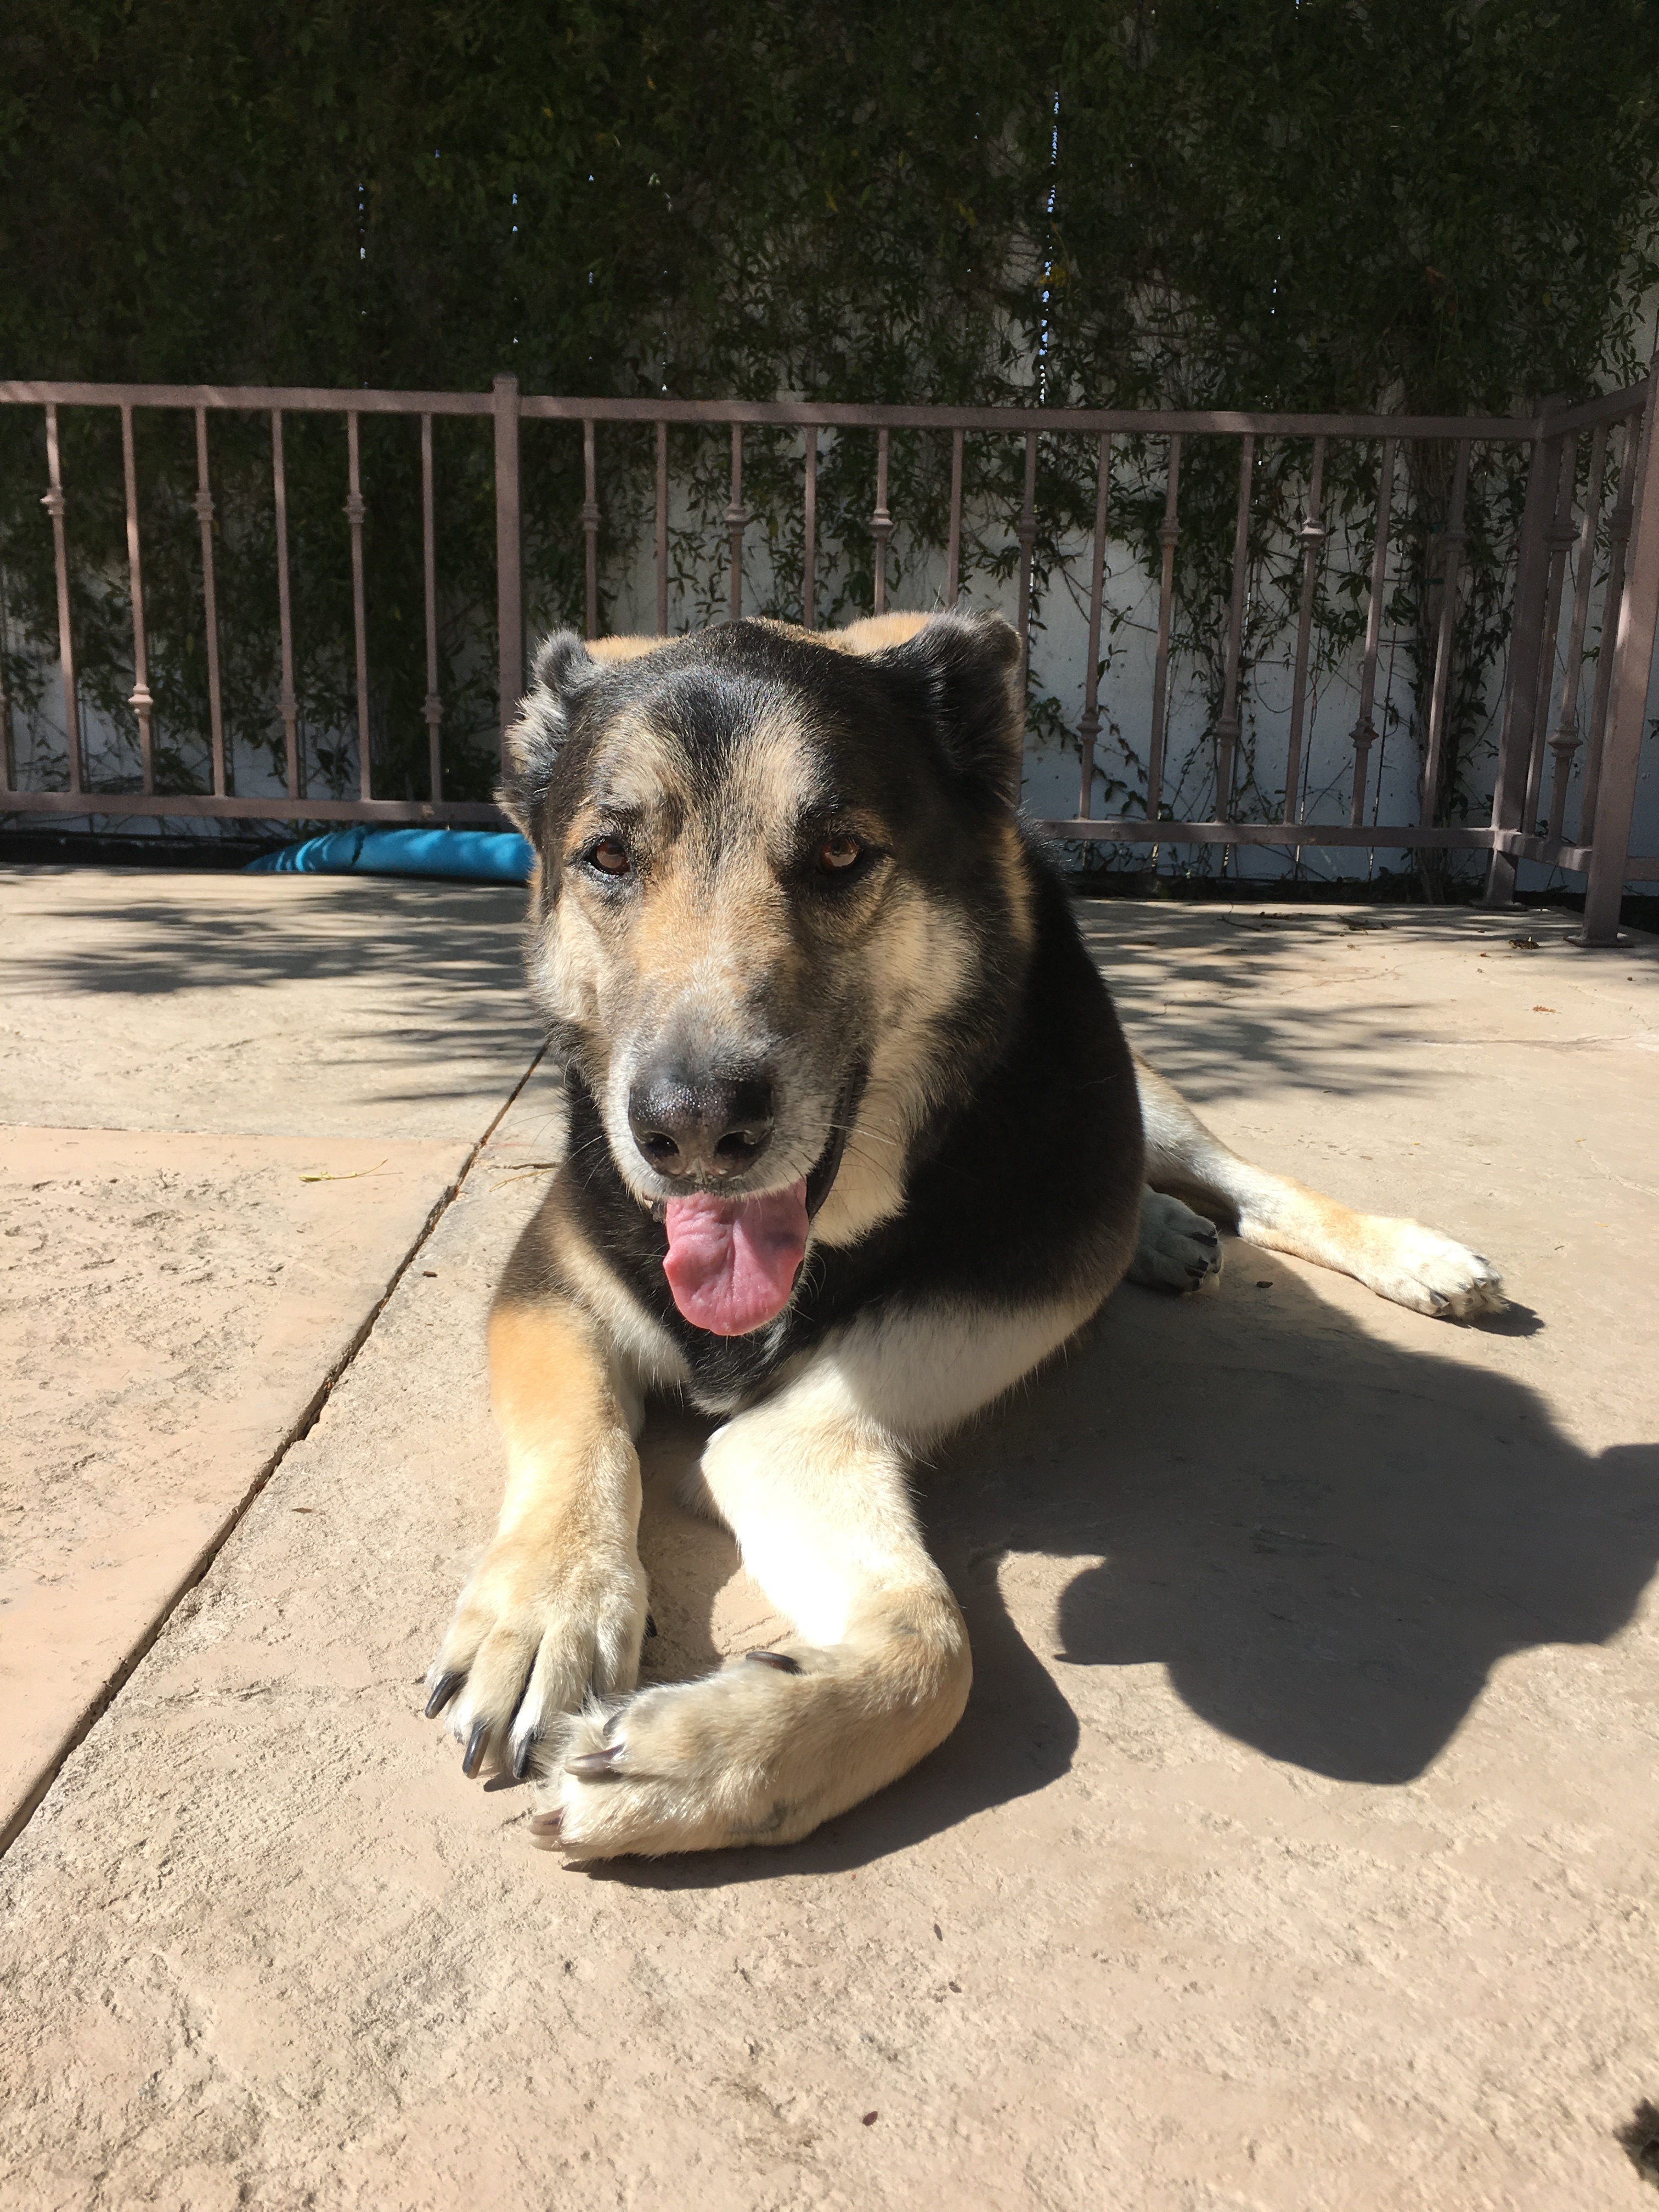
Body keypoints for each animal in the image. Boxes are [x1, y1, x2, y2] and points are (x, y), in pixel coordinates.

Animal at [425, 614, 1504, 1858]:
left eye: (840, 854)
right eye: (606, 856)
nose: (691, 1128)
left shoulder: (811, 1426)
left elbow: (936, 1652)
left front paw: (698, 1762)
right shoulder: (557, 1287)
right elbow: (584, 1441)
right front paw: (545, 1612)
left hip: (1132, 1093)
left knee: (1246, 1180)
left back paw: (1406, 1255)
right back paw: (1166, 1234)